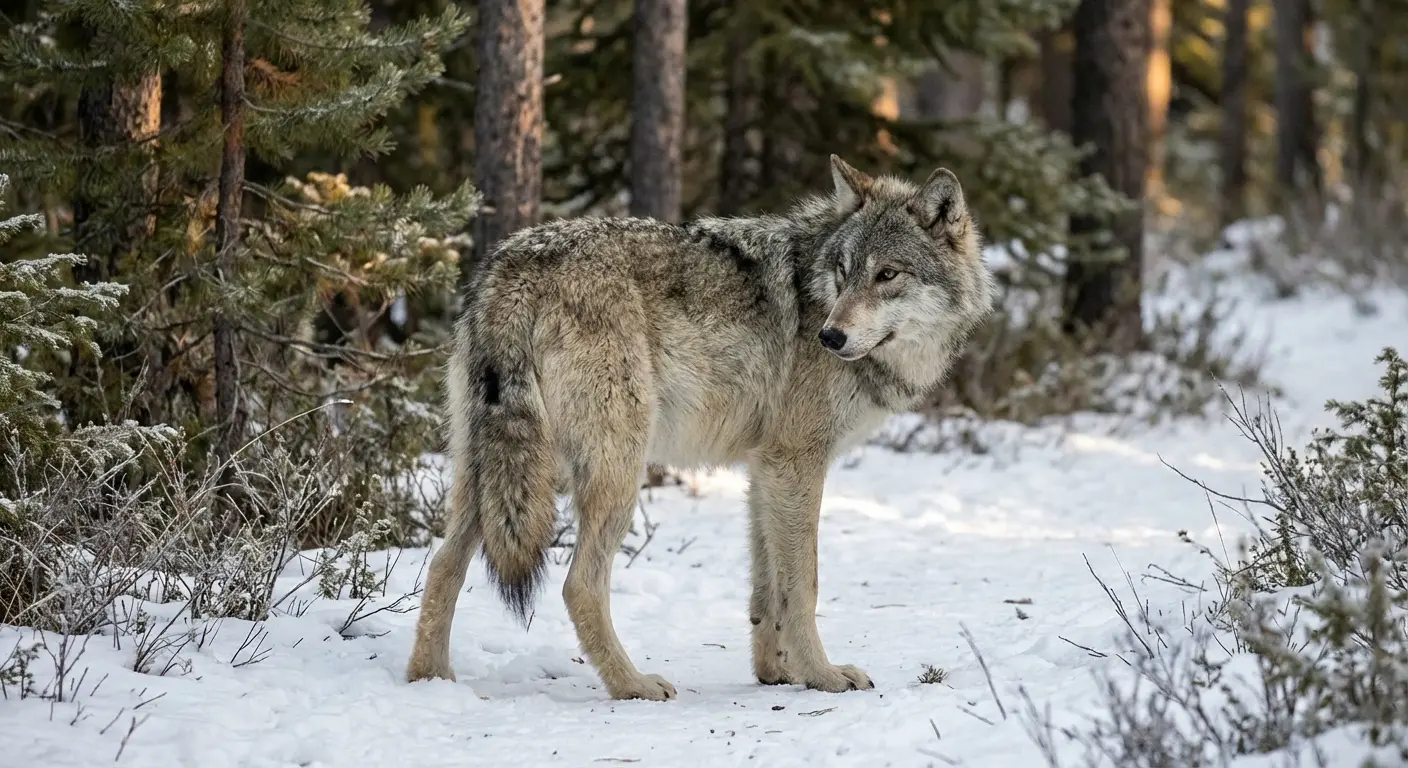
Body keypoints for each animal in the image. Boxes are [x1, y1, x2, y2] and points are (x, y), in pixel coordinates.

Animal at [405, 155, 996, 700]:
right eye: (844, 271)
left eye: (887, 274)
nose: (830, 336)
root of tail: (510, 266)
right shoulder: (797, 463)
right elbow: (802, 587)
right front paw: (823, 676)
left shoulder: (766, 470)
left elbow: (767, 589)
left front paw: (776, 674)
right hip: (613, 473)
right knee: (579, 586)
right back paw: (633, 685)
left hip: (490, 474)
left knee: (444, 563)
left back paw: (430, 679)